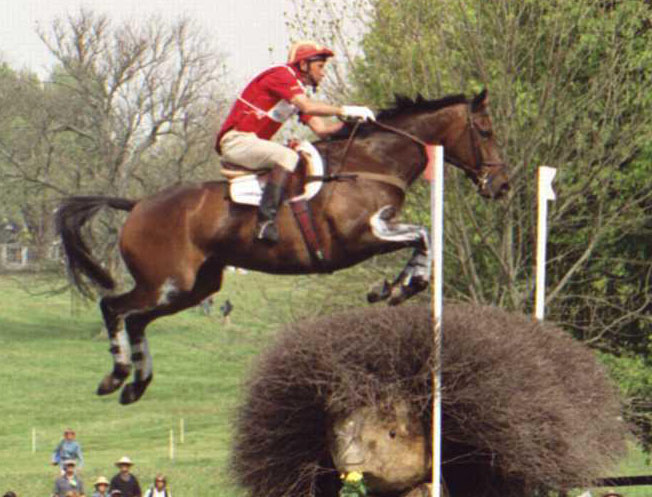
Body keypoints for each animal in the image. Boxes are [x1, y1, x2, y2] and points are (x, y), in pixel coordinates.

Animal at [56, 88, 510, 404]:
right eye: (486, 131)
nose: (501, 185)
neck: (372, 161)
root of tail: (137, 204)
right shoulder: (359, 236)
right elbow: (422, 235)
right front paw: (400, 285)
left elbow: (421, 239)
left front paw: (393, 287)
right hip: (166, 282)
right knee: (114, 307)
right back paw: (116, 376)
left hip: (195, 288)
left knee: (136, 320)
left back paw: (136, 385)